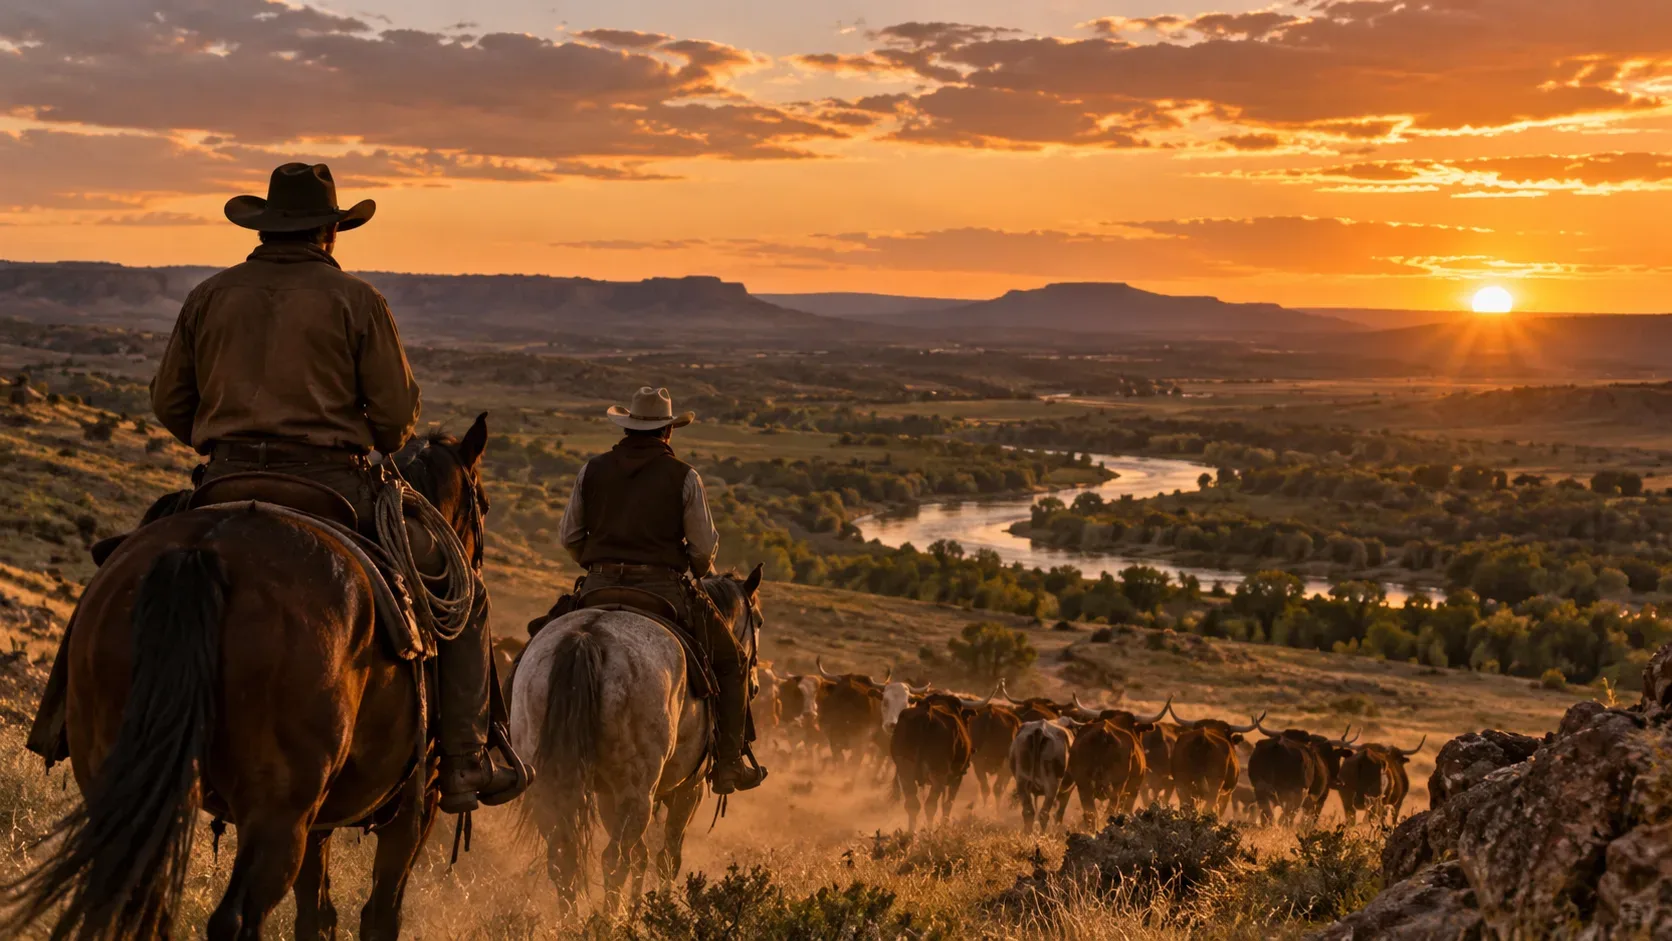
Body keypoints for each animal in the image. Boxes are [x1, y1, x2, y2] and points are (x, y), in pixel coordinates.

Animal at [2, 416, 493, 941]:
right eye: (482, 505)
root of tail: (206, 548)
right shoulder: (413, 809)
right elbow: (378, 915)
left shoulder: (323, 818)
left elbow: (317, 914)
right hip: (278, 810)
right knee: (236, 917)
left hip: (115, 773)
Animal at [511, 565, 763, 907]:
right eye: (758, 621)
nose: (755, 686)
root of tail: (587, 637)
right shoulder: (689, 790)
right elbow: (668, 857)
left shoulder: (607, 795)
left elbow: (641, 856)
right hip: (636, 793)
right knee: (614, 859)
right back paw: (607, 918)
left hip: (548, 788)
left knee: (564, 859)